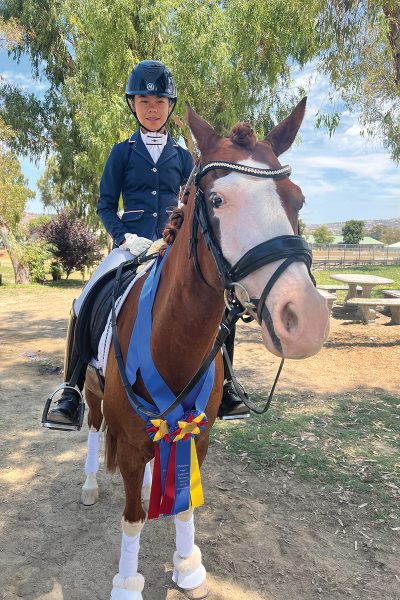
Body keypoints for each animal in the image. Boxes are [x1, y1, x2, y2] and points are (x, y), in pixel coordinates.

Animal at [80, 99, 328, 600]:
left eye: (297, 199)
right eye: (216, 201)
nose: (309, 320)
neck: (173, 341)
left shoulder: (199, 435)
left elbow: (185, 505)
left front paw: (188, 566)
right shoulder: (130, 445)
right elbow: (133, 518)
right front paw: (127, 583)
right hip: (94, 396)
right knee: (94, 429)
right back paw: (91, 485)